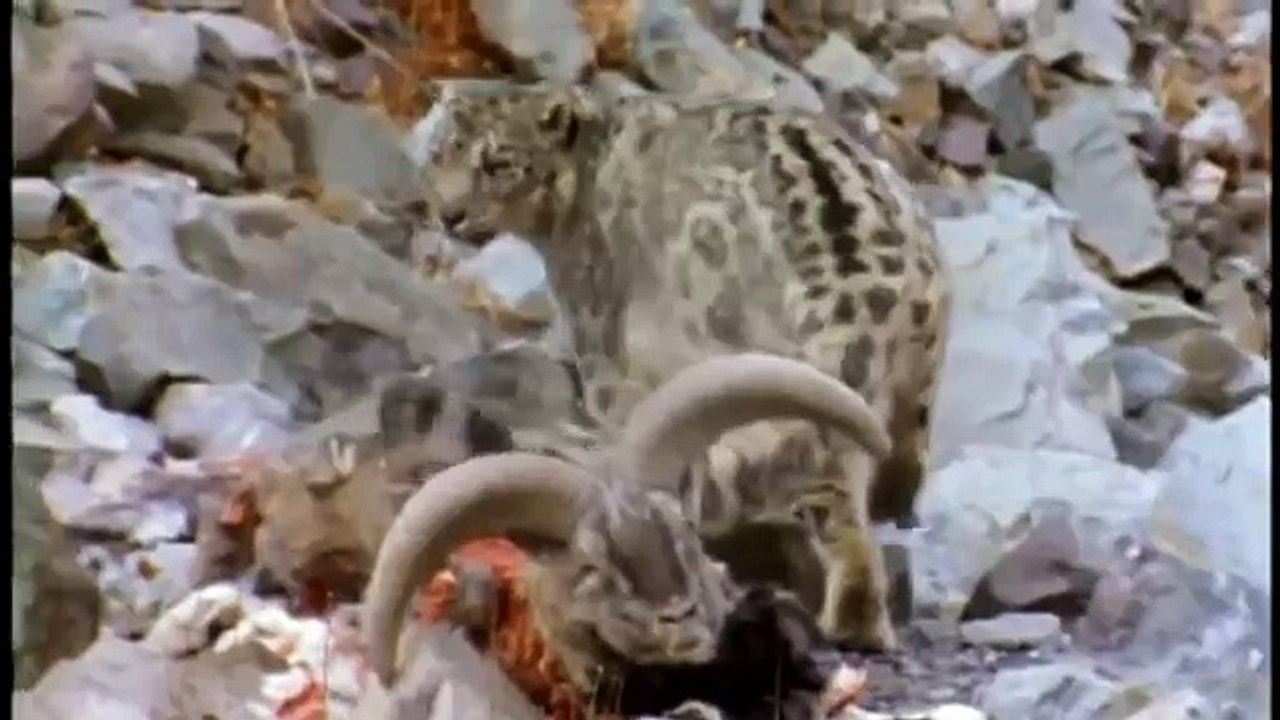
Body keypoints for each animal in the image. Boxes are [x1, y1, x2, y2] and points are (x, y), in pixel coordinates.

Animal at [419, 81, 951, 652]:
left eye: (498, 163)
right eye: (440, 153)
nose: (449, 214)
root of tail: (856, 279)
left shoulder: (606, 359)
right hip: (909, 395)